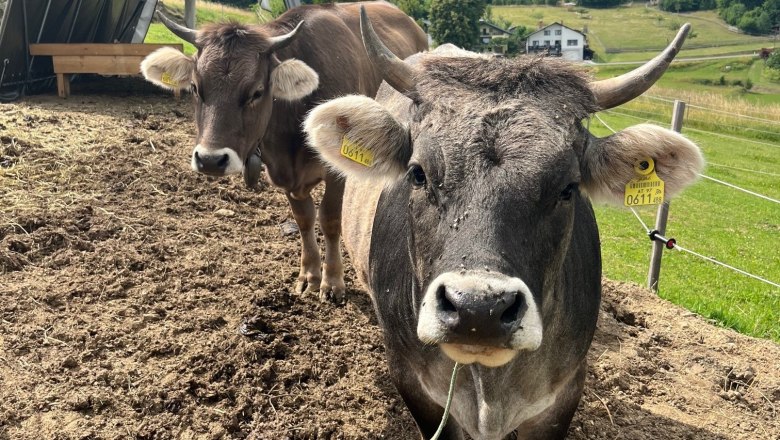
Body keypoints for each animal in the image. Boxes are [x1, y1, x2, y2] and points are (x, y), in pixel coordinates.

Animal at [140, 2, 427, 302]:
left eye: (256, 92)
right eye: (196, 88)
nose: (210, 160)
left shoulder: (337, 170)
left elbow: (329, 218)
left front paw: (332, 281)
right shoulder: (286, 176)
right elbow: (304, 219)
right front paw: (309, 275)